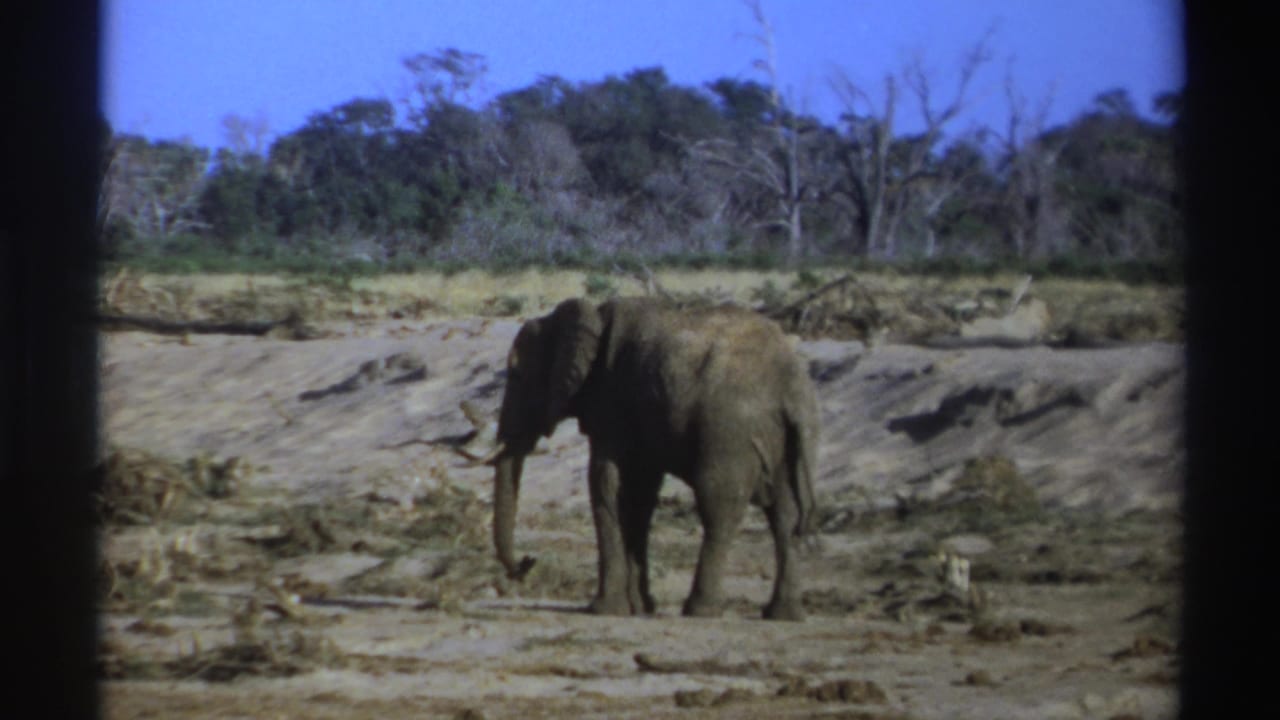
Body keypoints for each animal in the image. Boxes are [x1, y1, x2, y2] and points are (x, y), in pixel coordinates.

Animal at [483, 296, 819, 620]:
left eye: (517, 374)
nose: (527, 562)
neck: (591, 313)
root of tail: (791, 389)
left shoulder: (613, 398)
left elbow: (606, 483)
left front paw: (605, 610)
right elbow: (639, 493)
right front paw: (640, 607)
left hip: (730, 432)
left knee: (719, 508)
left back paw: (700, 610)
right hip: (789, 439)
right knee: (784, 515)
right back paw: (784, 614)